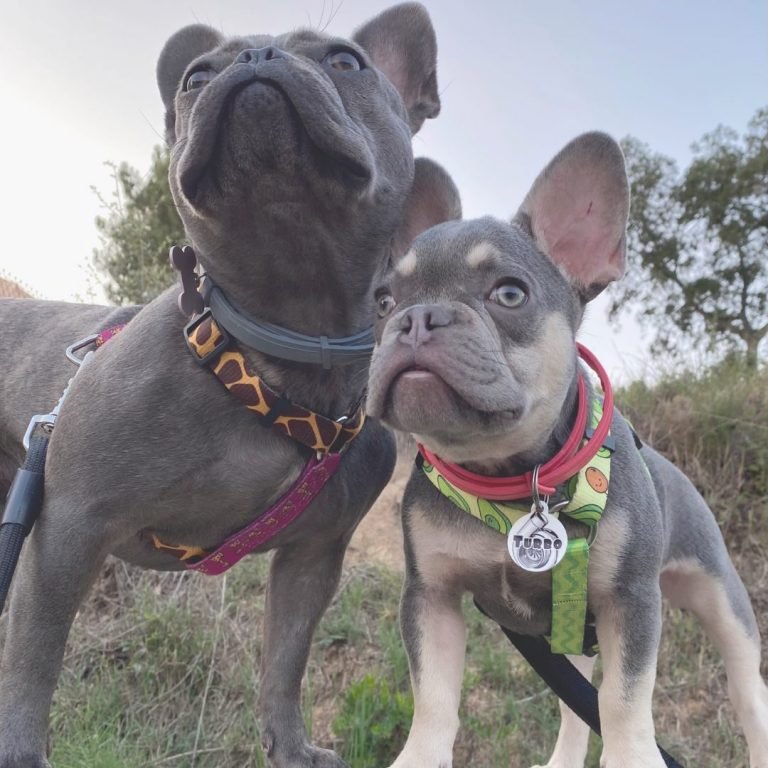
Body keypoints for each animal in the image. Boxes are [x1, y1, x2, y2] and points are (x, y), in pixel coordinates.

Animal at [366, 134, 768, 768]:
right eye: (383, 301)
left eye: (509, 293)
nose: (415, 319)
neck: (510, 475)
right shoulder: (431, 598)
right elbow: (433, 699)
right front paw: (419, 757)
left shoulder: (631, 603)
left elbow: (625, 704)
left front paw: (633, 756)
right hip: (571, 629)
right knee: (577, 708)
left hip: (721, 598)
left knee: (746, 689)